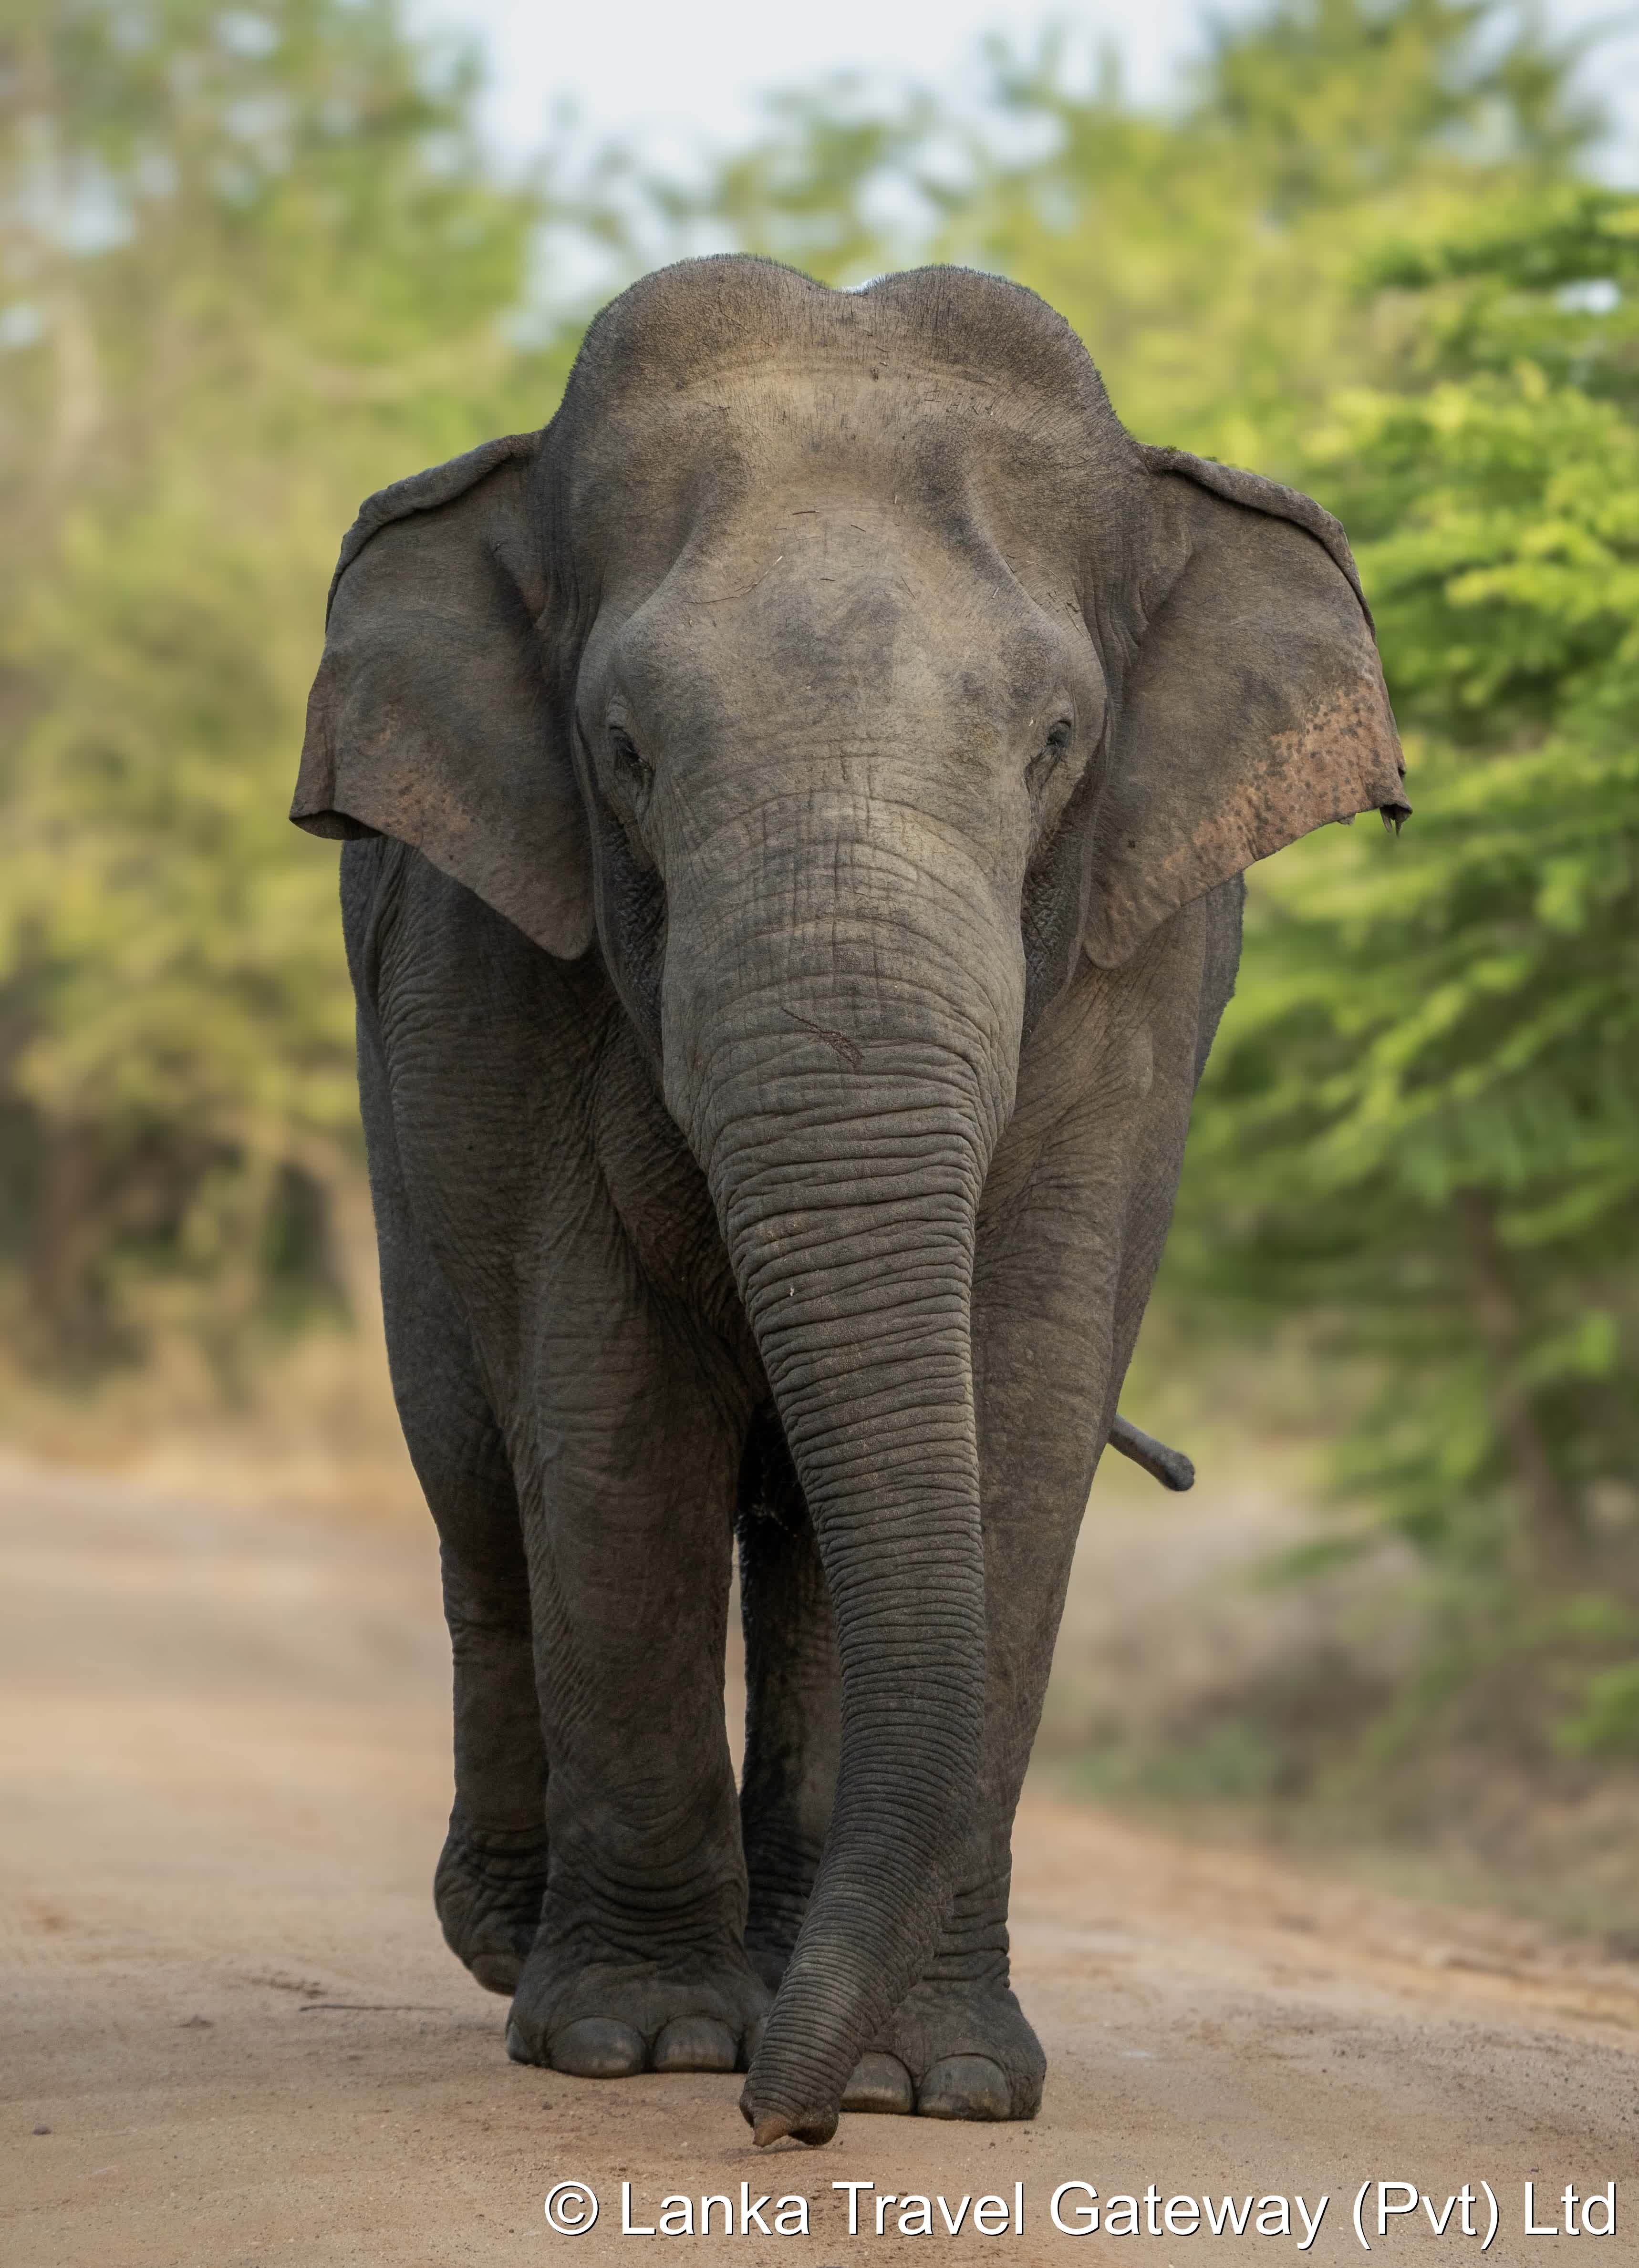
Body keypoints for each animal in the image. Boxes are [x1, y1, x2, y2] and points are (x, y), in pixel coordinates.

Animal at [290, 255, 1406, 2147]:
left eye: (1054, 742)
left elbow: (1019, 1399)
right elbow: (612, 1414)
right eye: (622, 747)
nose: (783, 2130)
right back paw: (526, 1948)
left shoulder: (1136, 969)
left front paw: (935, 2084)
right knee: (475, 1473)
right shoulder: (498, 974)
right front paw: (651, 2047)